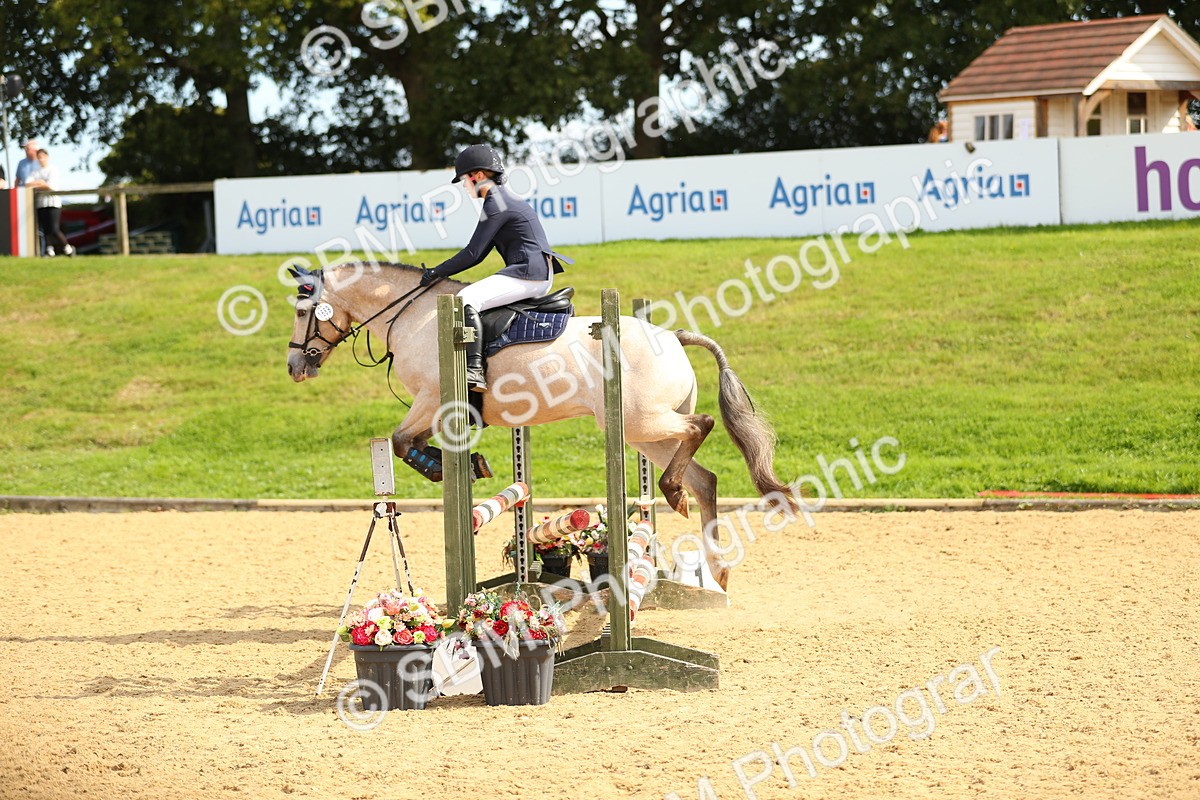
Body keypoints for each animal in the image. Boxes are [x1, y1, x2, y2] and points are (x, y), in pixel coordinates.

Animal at [285, 261, 796, 589]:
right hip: (645, 434)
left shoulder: (432, 401)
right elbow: (406, 442)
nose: (295, 367)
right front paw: (467, 464)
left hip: (641, 421)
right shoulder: (438, 410)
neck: (415, 317)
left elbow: (399, 440)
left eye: (301, 311)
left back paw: (673, 495)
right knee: (704, 479)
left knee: (701, 425)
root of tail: (674, 336)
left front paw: (447, 468)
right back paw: (716, 568)